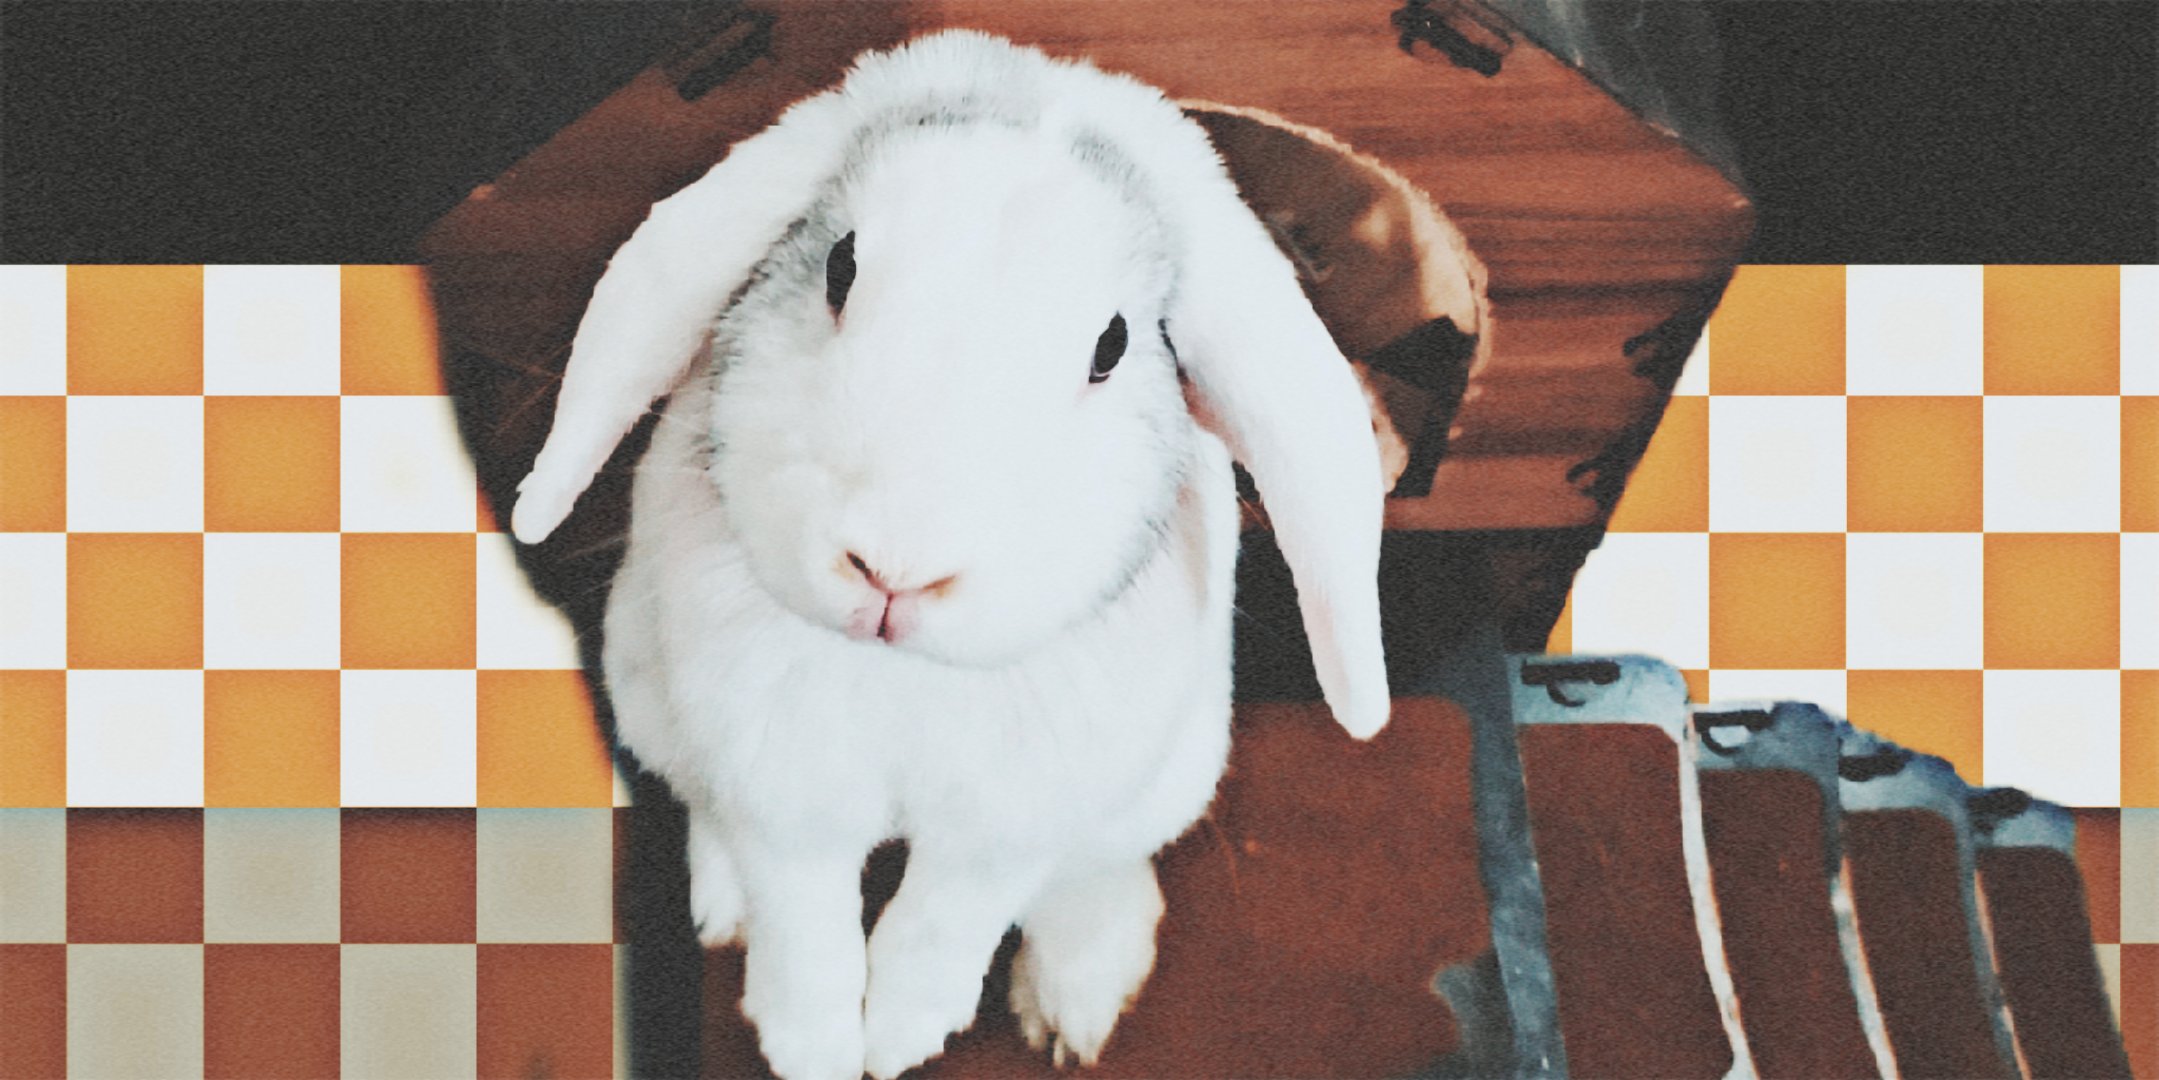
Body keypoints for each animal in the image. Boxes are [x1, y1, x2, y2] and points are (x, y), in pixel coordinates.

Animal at [510, 30, 1391, 1080]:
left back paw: (1077, 1001)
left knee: (1091, 874)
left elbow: (946, 921)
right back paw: (722, 906)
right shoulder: (781, 786)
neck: (906, 678)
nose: (893, 572)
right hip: (646, 691)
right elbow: (803, 922)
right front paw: (812, 1046)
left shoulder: (1006, 819)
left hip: (1165, 774)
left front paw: (897, 1037)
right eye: (839, 267)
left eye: (1112, 345)